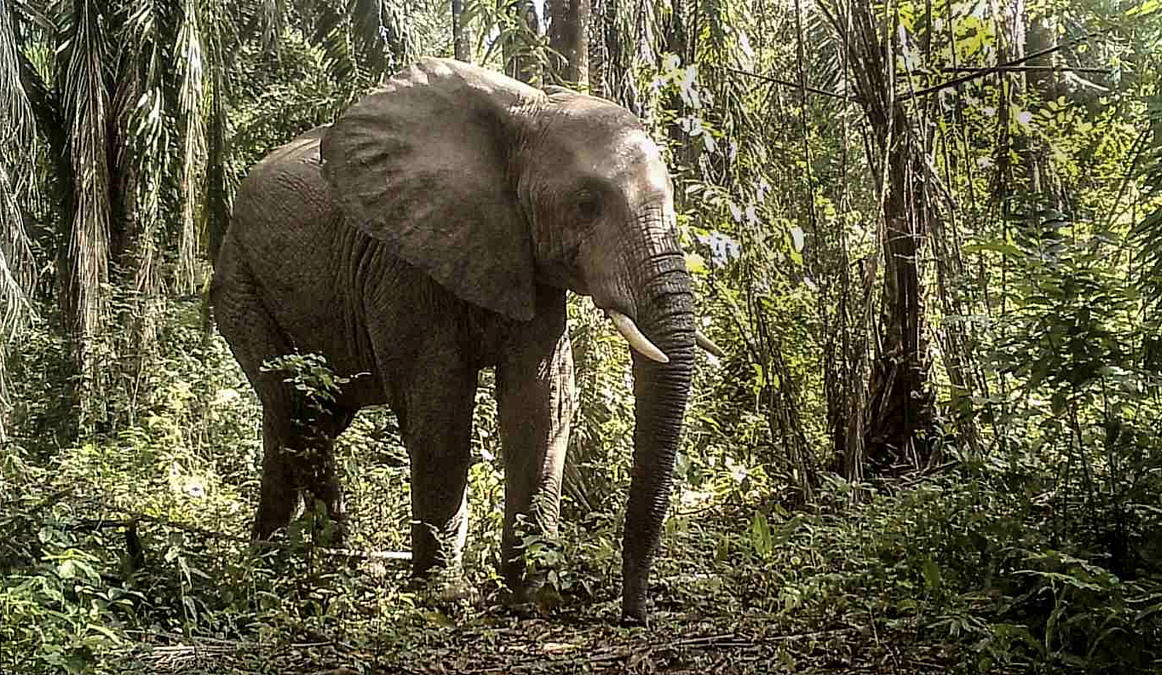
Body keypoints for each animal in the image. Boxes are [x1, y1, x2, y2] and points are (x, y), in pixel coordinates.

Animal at [210, 57, 717, 622]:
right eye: (587, 204)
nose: (634, 614)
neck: (527, 114)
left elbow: (539, 403)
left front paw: (532, 595)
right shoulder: (405, 262)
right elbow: (440, 410)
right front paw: (445, 598)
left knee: (298, 419)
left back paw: (274, 564)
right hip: (240, 282)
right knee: (300, 412)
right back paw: (318, 569)